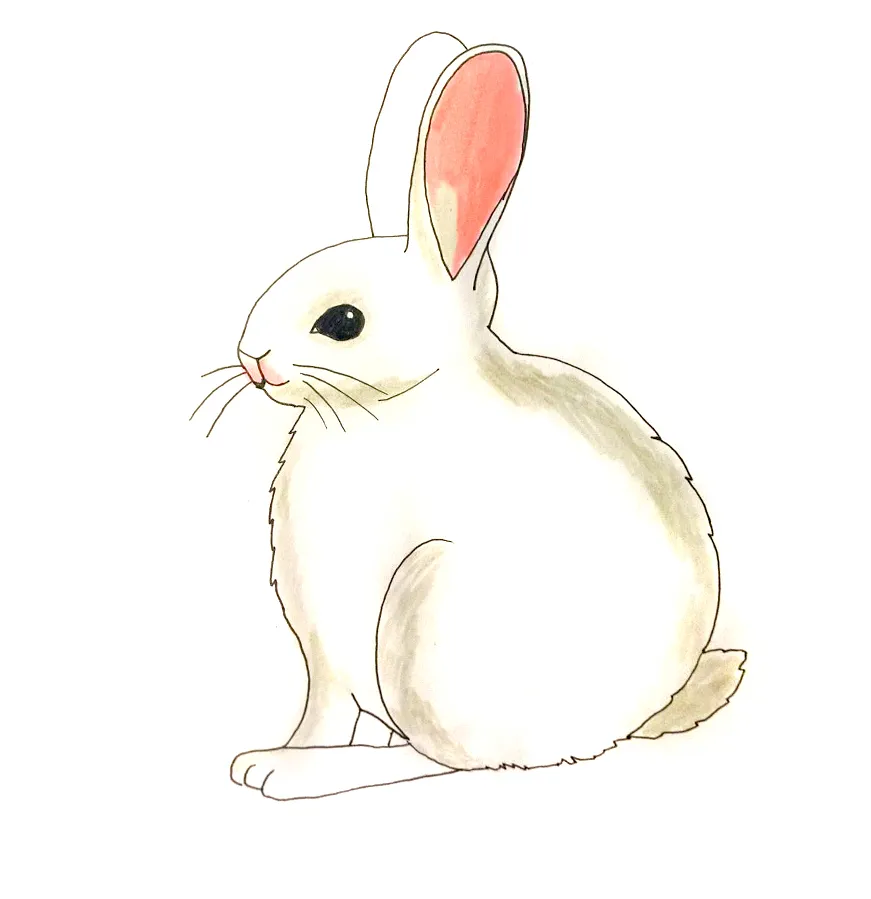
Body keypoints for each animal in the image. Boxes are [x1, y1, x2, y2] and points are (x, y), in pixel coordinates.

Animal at [212, 32, 745, 801]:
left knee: (445, 759)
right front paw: (268, 758)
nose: (252, 358)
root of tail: (631, 717)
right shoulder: (323, 651)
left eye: (341, 323)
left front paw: (282, 768)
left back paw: (315, 774)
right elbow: (321, 709)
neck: (393, 403)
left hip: (429, 616)